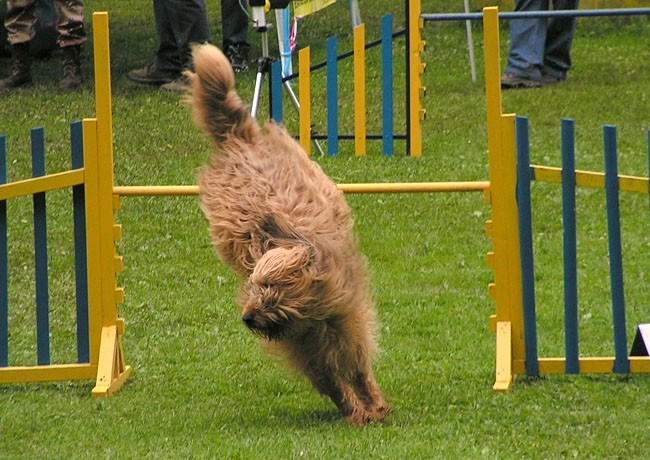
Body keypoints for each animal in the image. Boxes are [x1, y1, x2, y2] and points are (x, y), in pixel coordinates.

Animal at [185, 45, 388, 426]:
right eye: (254, 286)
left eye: (271, 287)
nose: (247, 317)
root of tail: (241, 135)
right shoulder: (302, 342)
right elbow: (328, 376)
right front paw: (354, 409)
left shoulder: (344, 315)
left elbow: (355, 364)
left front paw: (372, 403)